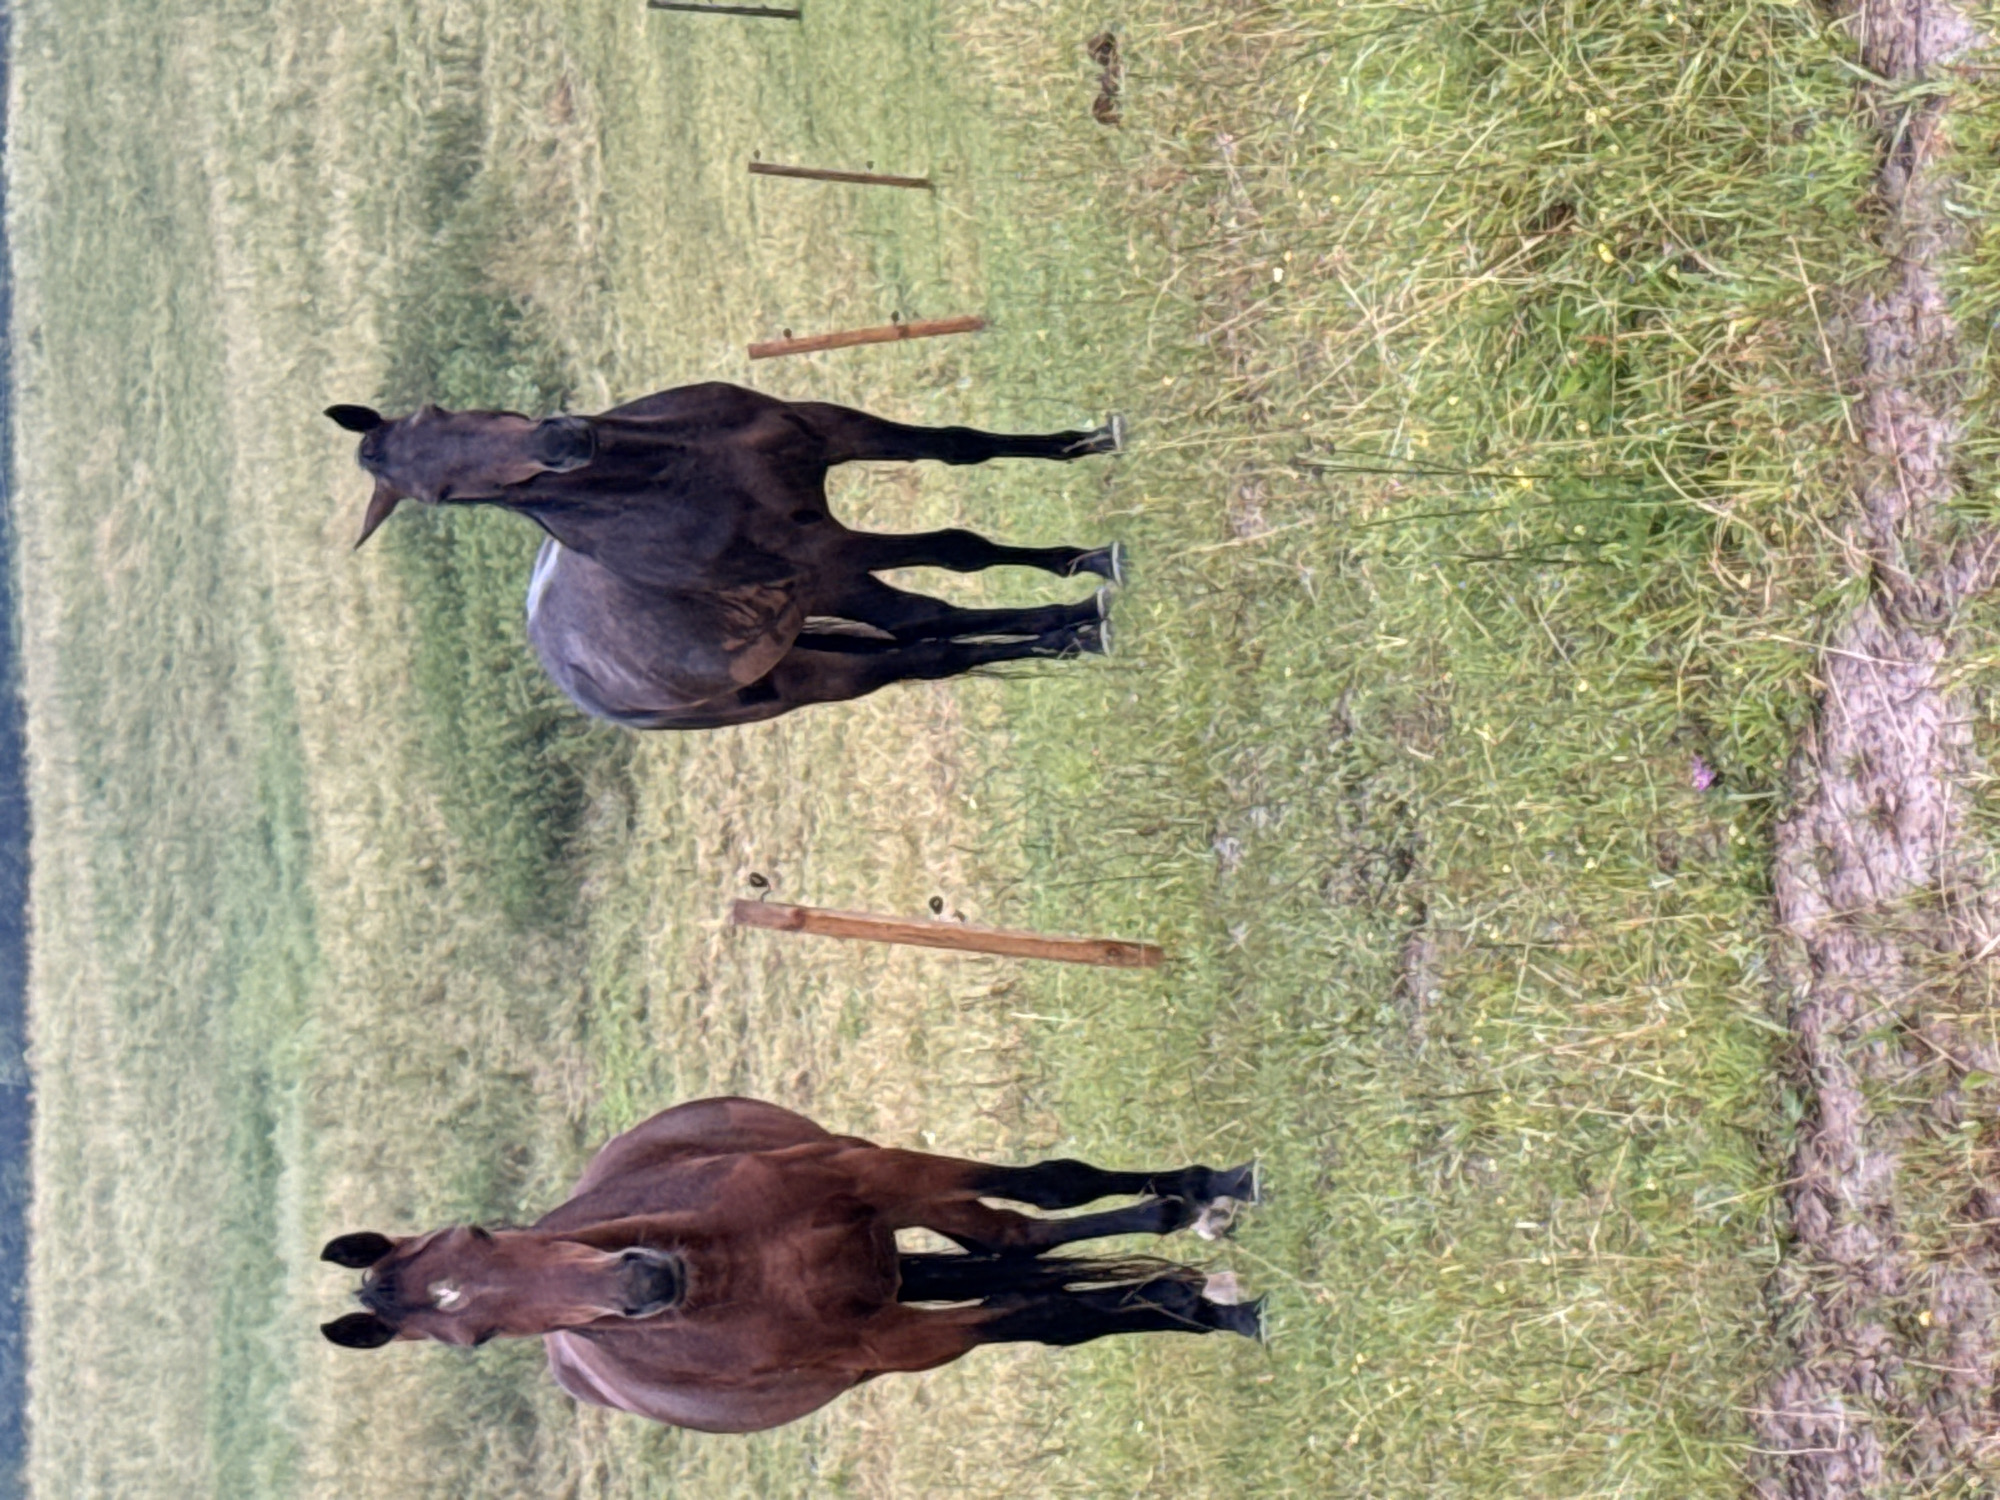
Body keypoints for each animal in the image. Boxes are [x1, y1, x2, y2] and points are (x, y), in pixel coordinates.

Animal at [319, 1097, 1262, 1432]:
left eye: (479, 1233)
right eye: (473, 1340)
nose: (643, 1283)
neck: (737, 1272)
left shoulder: (880, 1175)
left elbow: (1050, 1183)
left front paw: (1210, 1188)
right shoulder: (897, 1343)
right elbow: (1053, 1319)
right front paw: (1208, 1306)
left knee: (1014, 1237)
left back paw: (1192, 1211)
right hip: (892, 1274)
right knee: (1013, 1259)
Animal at [326, 383, 1127, 729]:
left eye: (434, 411)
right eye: (442, 496)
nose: (562, 443)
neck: (676, 471)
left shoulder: (830, 431)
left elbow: (961, 445)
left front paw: (1088, 443)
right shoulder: (824, 559)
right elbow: (960, 553)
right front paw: (1090, 573)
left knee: (927, 632)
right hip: (814, 668)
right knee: (928, 645)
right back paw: (1073, 631)